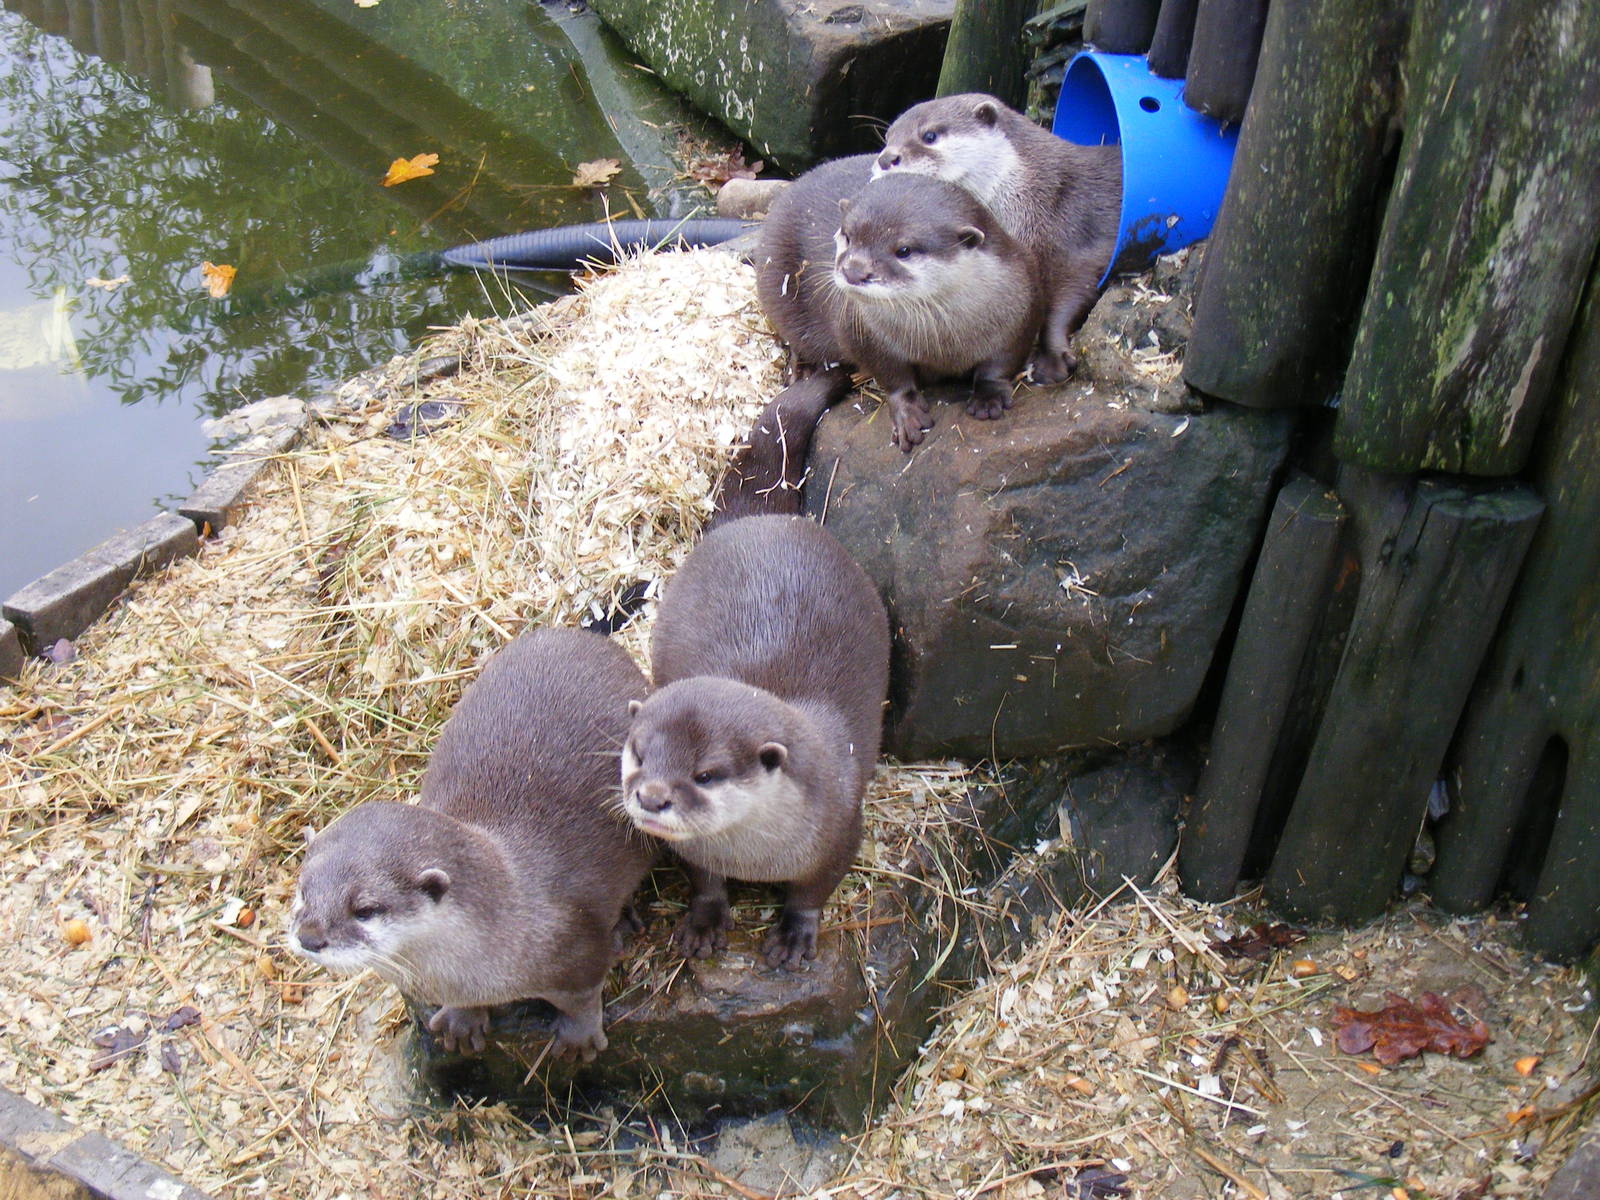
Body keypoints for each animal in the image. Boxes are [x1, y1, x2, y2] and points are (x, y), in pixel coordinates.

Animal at [288, 628, 653, 1060]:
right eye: (302, 891)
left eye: (365, 909)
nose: (309, 937)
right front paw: (461, 1021)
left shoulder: (575, 950)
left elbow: (583, 995)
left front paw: (579, 1037)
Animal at [620, 514, 890, 968]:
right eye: (639, 754)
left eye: (705, 774)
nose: (652, 798)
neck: (754, 857)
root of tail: (770, 520)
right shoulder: (696, 851)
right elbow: (705, 883)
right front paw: (705, 923)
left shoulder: (841, 832)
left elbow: (812, 892)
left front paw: (794, 935)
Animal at [755, 156, 1044, 451]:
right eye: (847, 236)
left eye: (903, 250)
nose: (854, 270)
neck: (945, 341)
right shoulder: (862, 334)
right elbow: (892, 377)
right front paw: (908, 415)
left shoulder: (1022, 307)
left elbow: (1001, 363)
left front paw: (988, 397)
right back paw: (803, 369)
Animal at [874, 93, 1122, 383]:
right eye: (888, 137)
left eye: (930, 135)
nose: (886, 159)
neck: (1036, 195)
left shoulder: (1074, 235)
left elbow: (1072, 290)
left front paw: (1053, 358)